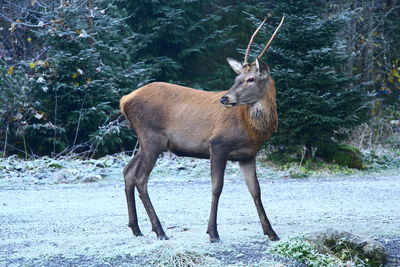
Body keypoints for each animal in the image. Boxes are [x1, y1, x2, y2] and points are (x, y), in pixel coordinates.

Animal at [119, 15, 284, 244]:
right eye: (236, 79)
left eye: (250, 79)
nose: (225, 98)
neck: (252, 130)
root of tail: (124, 101)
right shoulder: (218, 144)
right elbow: (217, 187)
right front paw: (213, 233)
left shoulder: (247, 156)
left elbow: (256, 190)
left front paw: (271, 232)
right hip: (151, 138)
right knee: (140, 178)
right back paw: (160, 230)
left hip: (146, 142)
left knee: (127, 171)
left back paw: (136, 228)